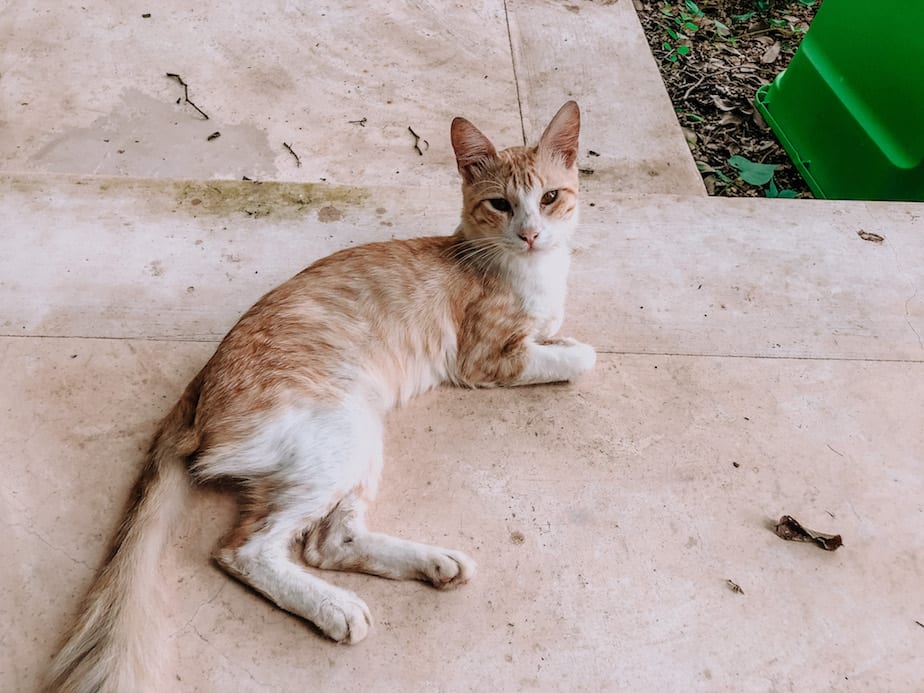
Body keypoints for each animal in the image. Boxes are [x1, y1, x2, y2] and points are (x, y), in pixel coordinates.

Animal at [47, 101, 592, 692]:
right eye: (500, 204)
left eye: (549, 198)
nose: (531, 233)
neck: (529, 270)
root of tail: (196, 391)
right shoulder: (484, 359)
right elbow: (579, 356)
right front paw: (568, 346)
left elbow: (556, 334)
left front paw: (558, 333)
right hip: (339, 430)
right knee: (247, 549)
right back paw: (336, 609)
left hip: (359, 438)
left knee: (329, 543)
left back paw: (435, 565)